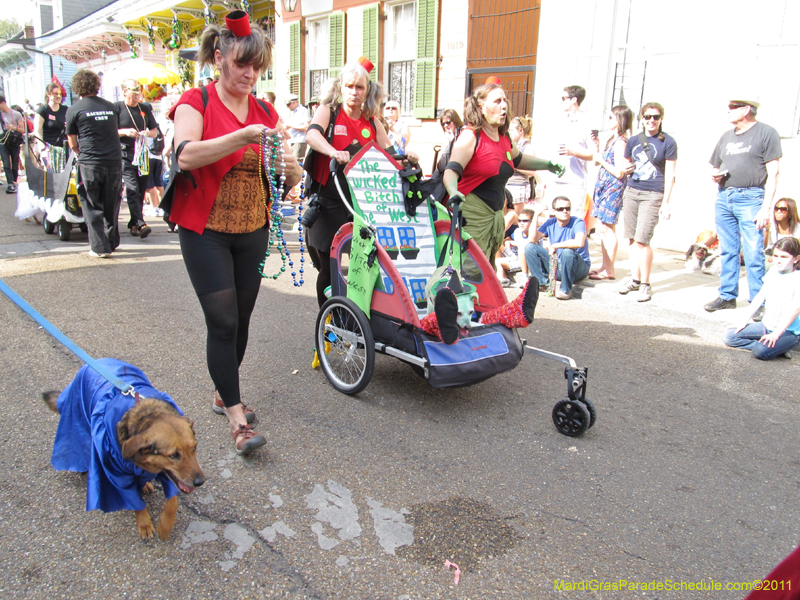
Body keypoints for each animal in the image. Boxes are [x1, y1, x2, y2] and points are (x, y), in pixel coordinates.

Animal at [43, 358, 206, 540]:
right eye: (174, 455)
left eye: (194, 448)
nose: (200, 482)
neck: (149, 415)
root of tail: (97, 361)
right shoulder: (118, 475)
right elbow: (136, 503)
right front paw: (144, 524)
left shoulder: (167, 476)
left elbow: (173, 502)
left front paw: (165, 526)